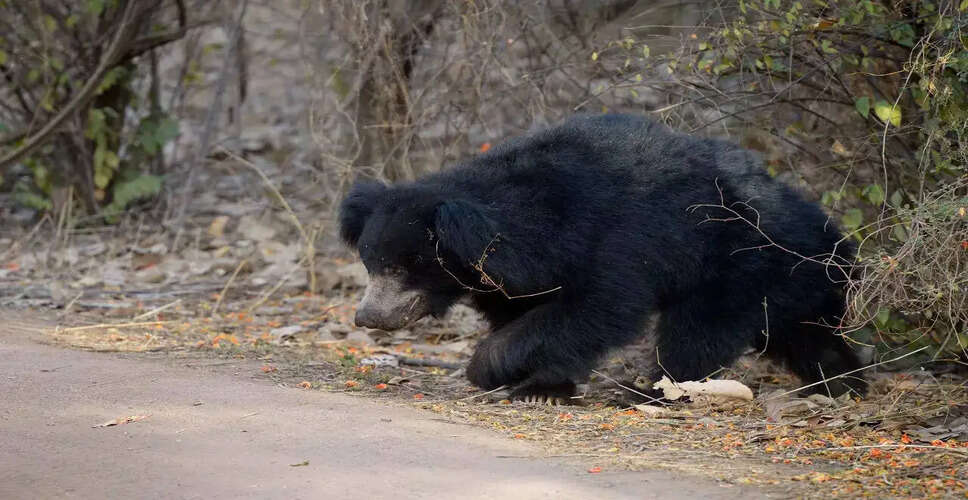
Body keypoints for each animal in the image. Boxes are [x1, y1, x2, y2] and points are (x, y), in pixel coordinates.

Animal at [339, 113, 867, 404]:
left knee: (695, 335)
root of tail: (835, 240)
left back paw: (651, 393)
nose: (367, 317)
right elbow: (527, 311)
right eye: (369, 263)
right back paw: (843, 384)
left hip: (737, 268)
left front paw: (491, 369)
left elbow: (596, 308)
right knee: (806, 338)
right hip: (787, 287)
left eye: (400, 267)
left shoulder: (621, 240)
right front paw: (543, 387)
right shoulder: (517, 275)